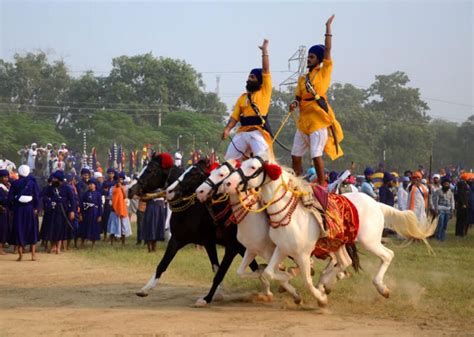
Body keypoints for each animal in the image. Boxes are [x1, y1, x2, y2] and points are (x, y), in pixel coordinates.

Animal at [195, 159, 300, 304]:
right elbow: (256, 269)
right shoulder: (247, 248)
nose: (199, 191)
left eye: (221, 174)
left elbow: (220, 274)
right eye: (210, 173)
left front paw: (206, 299)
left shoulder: (234, 248)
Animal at [223, 156, 436, 306]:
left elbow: (306, 280)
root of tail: (376, 203)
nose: (227, 183)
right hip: (339, 243)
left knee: (387, 255)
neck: (288, 215)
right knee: (345, 262)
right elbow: (268, 273)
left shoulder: (302, 254)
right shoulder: (281, 249)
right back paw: (326, 282)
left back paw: (381, 288)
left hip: (369, 241)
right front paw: (291, 285)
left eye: (252, 167)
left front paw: (320, 298)